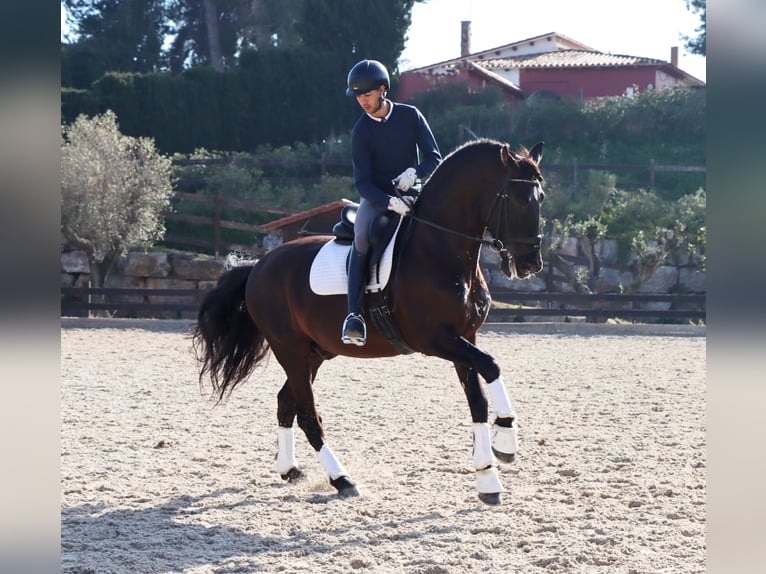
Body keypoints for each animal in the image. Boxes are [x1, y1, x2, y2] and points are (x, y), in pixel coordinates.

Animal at [192, 139, 545, 505]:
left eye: (541, 198)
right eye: (520, 200)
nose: (531, 263)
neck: (442, 250)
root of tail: (259, 267)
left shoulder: (465, 338)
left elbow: (478, 401)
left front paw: (488, 479)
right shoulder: (436, 340)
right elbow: (491, 366)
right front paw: (506, 440)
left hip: (313, 353)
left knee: (286, 403)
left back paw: (290, 470)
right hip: (289, 349)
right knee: (307, 414)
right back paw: (341, 479)